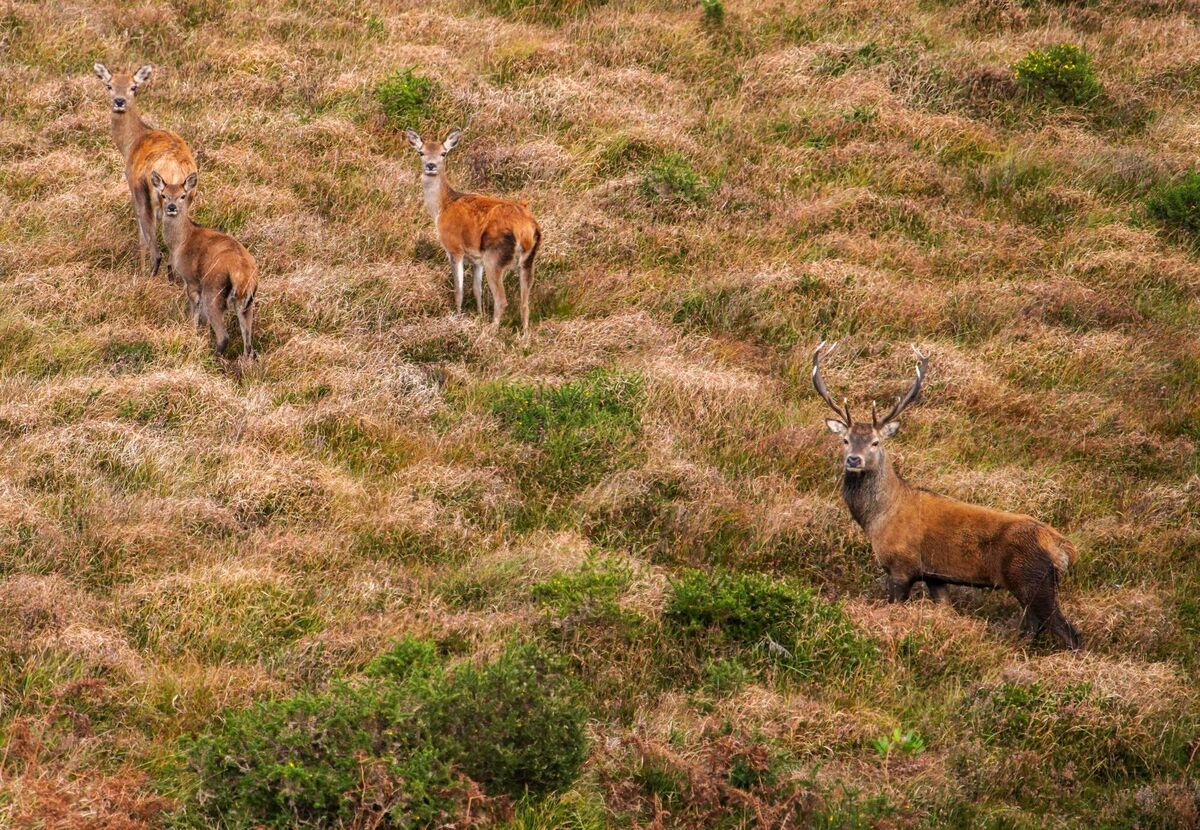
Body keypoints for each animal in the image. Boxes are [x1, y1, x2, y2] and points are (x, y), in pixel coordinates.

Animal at [93, 63, 197, 279]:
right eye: (109, 85)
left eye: (134, 87)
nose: (119, 101)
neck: (131, 144)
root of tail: (174, 173)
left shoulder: (133, 189)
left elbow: (141, 237)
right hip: (186, 199)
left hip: (147, 196)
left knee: (157, 251)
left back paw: (146, 277)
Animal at [152, 171, 257, 359]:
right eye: (164, 195)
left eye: (183, 195)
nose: (171, 207)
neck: (180, 243)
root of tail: (243, 275)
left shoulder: (191, 279)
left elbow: (194, 308)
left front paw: (191, 332)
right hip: (247, 302)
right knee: (248, 343)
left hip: (214, 290)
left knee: (224, 335)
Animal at [404, 129, 542, 334]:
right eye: (421, 152)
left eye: (443, 153)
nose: (430, 166)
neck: (442, 208)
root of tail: (524, 229)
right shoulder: (477, 259)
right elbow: (478, 290)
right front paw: (479, 315)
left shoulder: (454, 248)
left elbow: (459, 289)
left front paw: (458, 316)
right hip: (528, 260)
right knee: (525, 303)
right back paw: (524, 337)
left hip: (495, 257)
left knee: (502, 300)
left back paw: (491, 331)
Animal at [812, 342, 1081, 650]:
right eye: (845, 440)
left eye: (875, 442)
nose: (854, 460)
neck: (877, 517)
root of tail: (1065, 549)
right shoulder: (934, 576)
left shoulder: (901, 566)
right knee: (1032, 627)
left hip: (1032, 579)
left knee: (1068, 631)